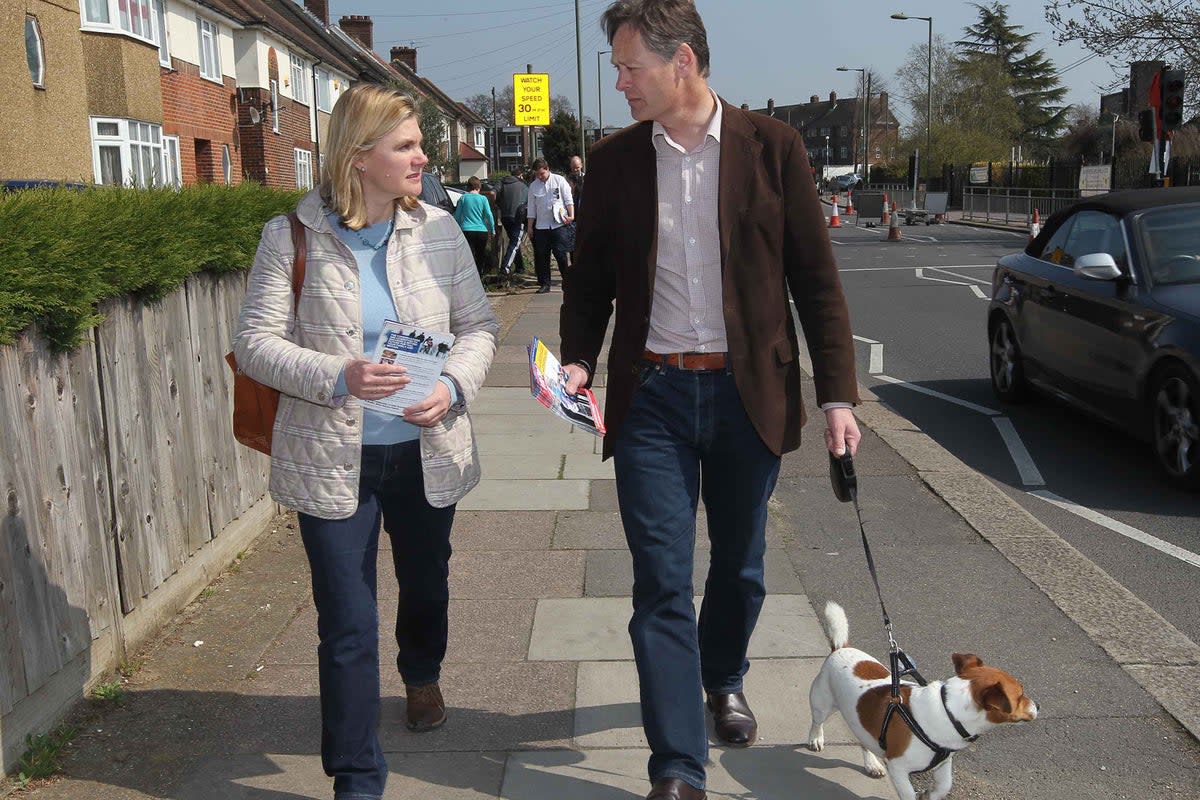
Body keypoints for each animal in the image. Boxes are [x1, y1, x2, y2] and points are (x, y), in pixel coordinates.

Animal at [811, 599, 1036, 800]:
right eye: (1021, 694)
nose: (1039, 705)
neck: (948, 712)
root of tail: (841, 647)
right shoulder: (898, 768)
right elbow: (909, 794)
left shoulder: (943, 763)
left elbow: (944, 786)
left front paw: (929, 794)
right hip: (822, 704)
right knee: (817, 722)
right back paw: (815, 739)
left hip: (860, 722)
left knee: (864, 741)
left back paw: (872, 764)